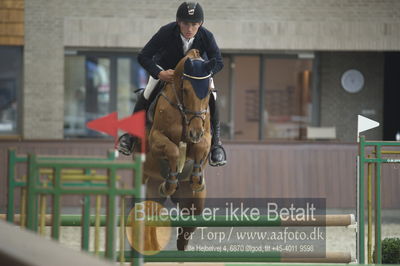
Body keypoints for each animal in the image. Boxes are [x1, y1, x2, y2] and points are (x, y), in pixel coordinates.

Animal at [141, 49, 216, 251]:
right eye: (185, 90)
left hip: (194, 203)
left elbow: (201, 147)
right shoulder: (155, 139)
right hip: (148, 188)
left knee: (187, 227)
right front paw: (168, 184)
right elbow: (173, 150)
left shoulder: (206, 137)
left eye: (208, 92)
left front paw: (197, 178)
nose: (195, 132)